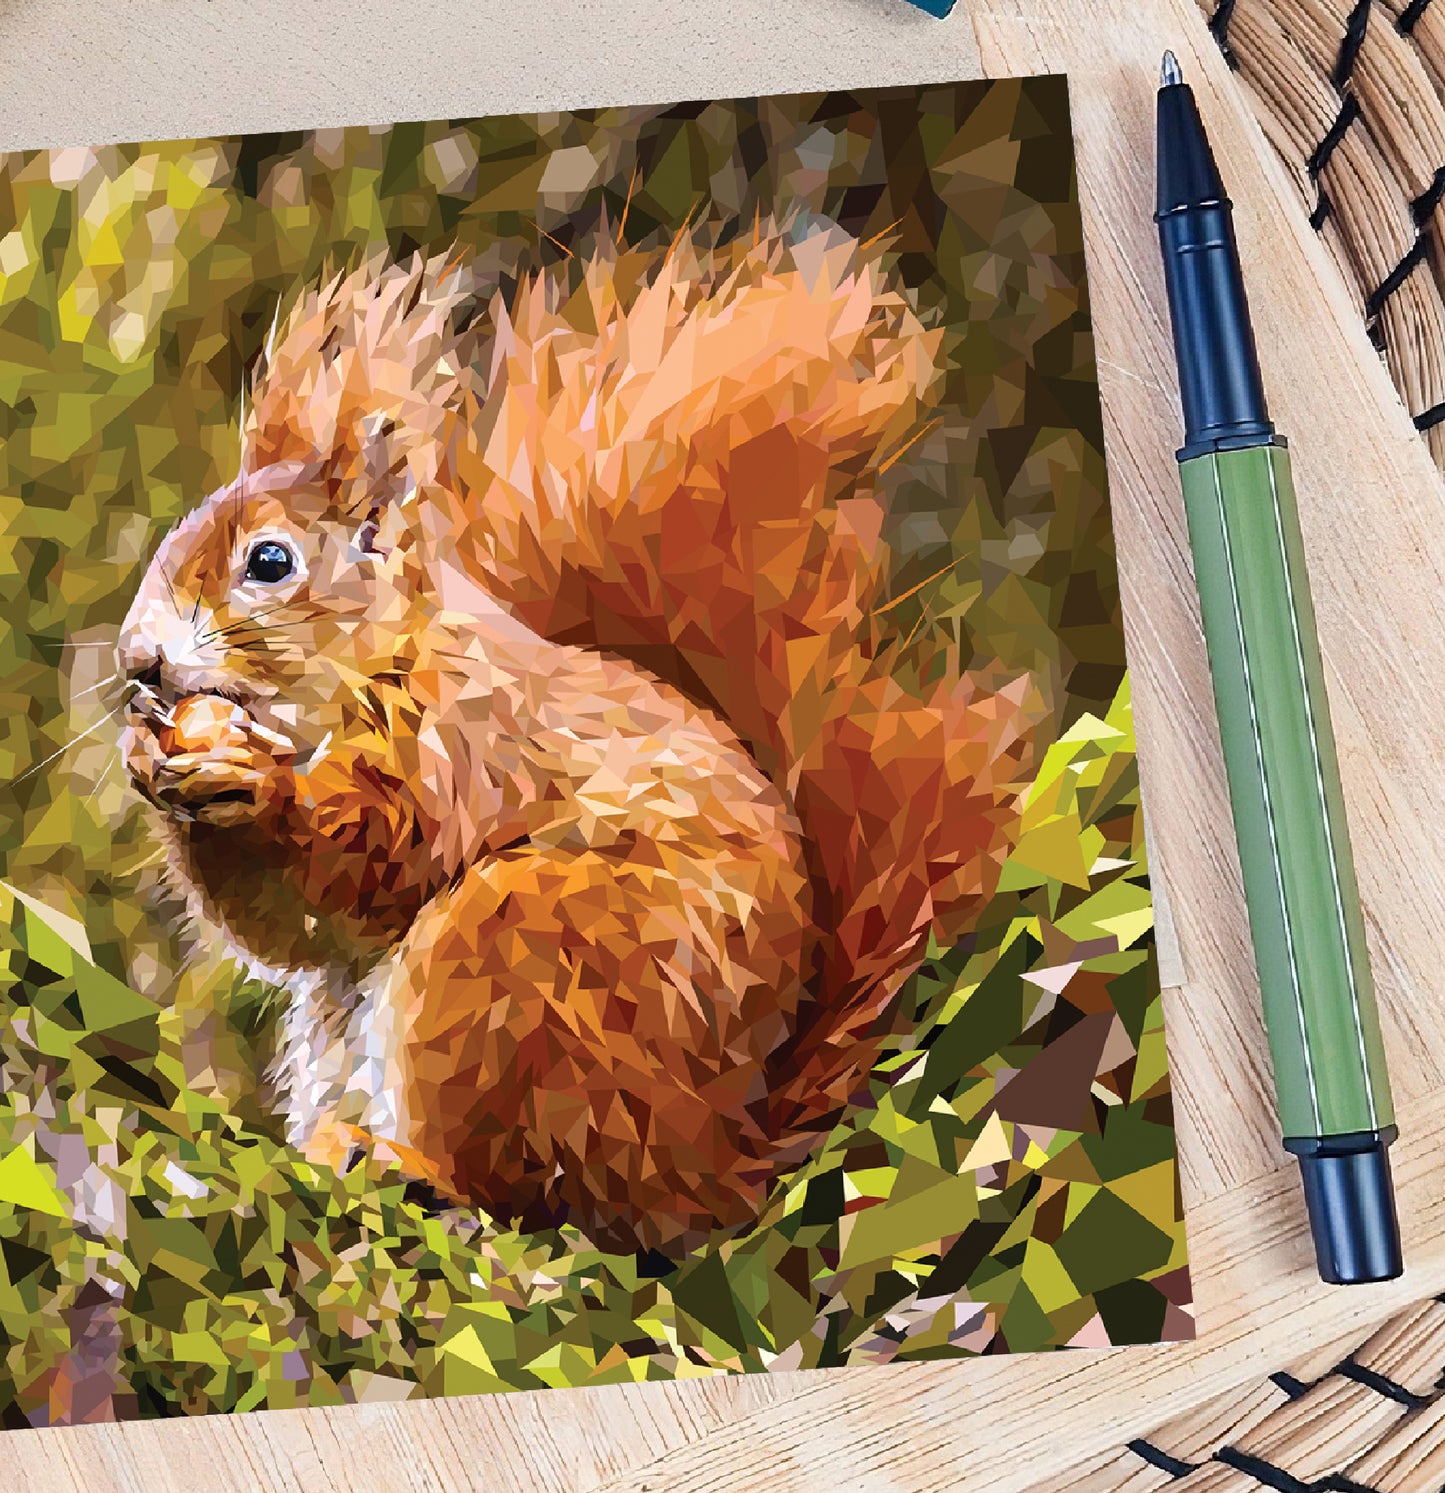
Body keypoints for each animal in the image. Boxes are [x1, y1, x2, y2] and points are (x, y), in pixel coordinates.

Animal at [116, 219, 1036, 1253]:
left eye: (269, 562)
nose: (138, 663)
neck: (368, 669)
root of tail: (708, 1168)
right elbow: (290, 927)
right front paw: (149, 763)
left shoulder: (464, 745)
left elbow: (371, 856)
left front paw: (256, 786)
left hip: (514, 964)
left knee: (522, 1190)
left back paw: (406, 1165)